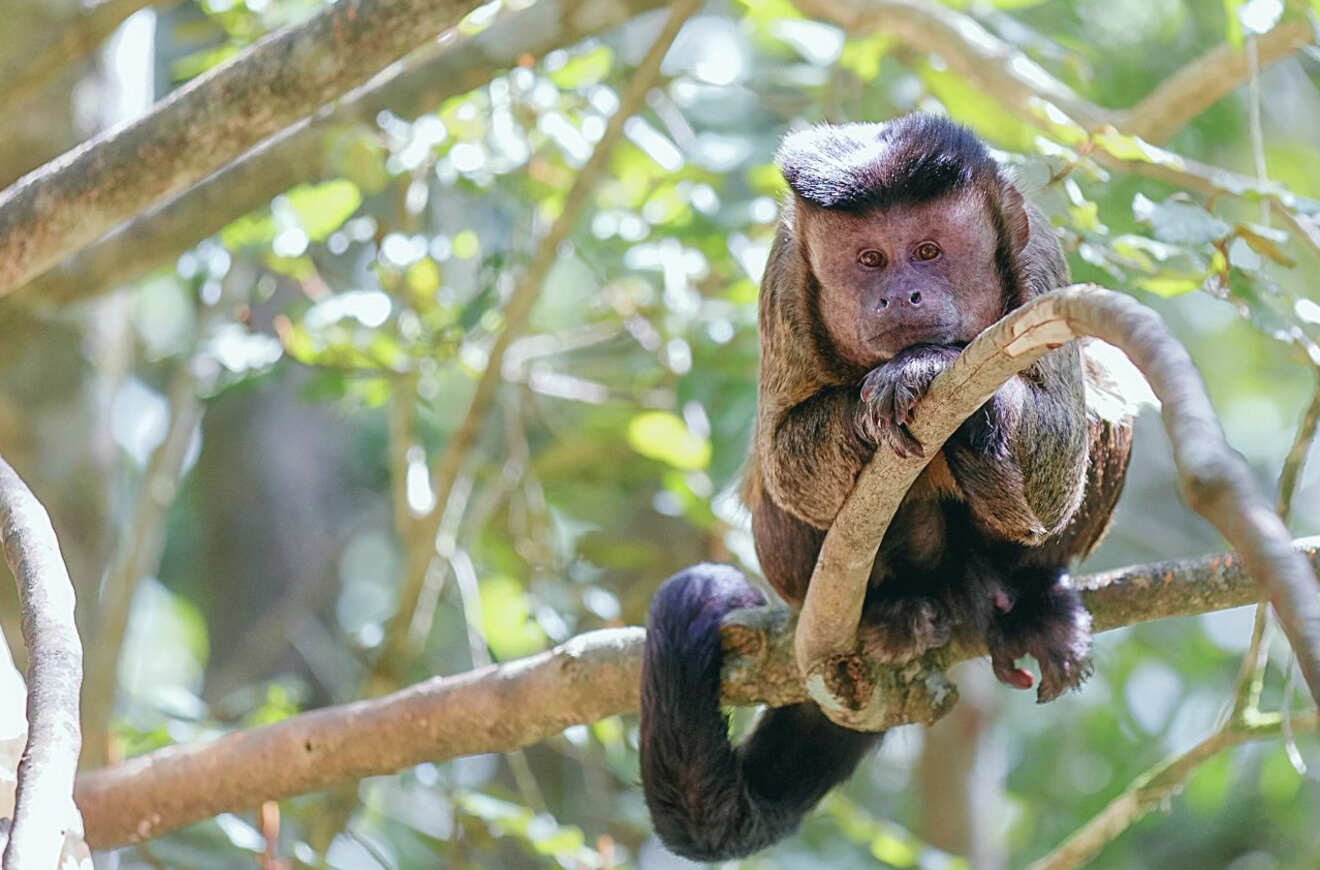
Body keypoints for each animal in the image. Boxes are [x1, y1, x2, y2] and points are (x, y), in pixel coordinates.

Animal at [638, 115, 1135, 866]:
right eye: (870, 259)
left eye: (928, 251)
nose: (901, 295)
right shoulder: (783, 278)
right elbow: (782, 459)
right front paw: (884, 395)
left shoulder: (1041, 262)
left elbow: (1057, 473)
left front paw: (923, 369)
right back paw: (895, 607)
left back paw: (1029, 599)